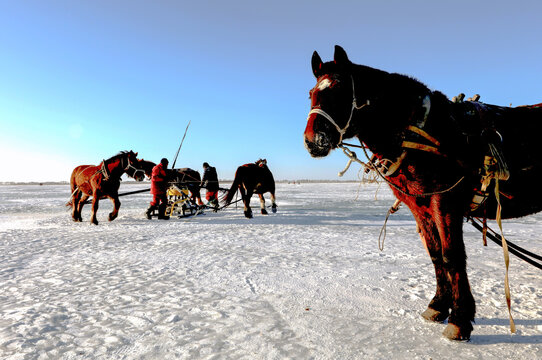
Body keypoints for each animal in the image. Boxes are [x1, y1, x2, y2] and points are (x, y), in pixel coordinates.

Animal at [304, 45, 542, 340]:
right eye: (311, 93)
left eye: (339, 89)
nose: (312, 141)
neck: (420, 131)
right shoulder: (421, 208)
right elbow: (435, 254)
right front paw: (438, 305)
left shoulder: (445, 201)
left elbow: (452, 256)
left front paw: (460, 319)